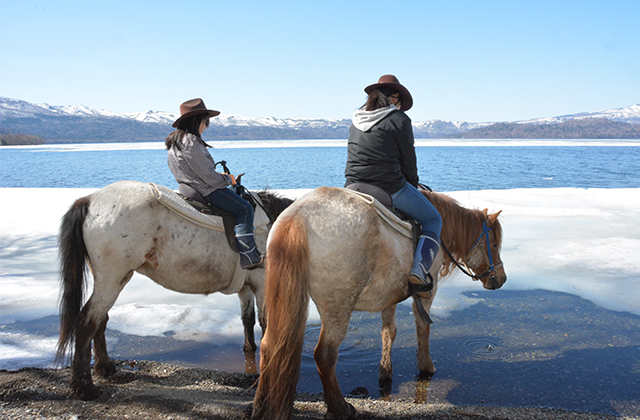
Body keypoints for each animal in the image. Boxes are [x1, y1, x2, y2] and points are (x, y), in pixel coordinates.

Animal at [57, 180, 292, 400]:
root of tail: (89, 200)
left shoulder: (246, 287)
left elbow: (247, 320)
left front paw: (250, 352)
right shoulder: (262, 284)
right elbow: (266, 324)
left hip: (109, 280)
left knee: (100, 320)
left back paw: (104, 367)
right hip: (112, 278)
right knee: (86, 322)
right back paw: (84, 387)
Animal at [250, 187, 504, 420]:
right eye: (493, 243)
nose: (500, 279)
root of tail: (299, 217)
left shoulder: (388, 296)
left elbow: (388, 332)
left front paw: (385, 371)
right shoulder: (427, 293)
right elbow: (423, 329)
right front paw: (426, 367)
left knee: (268, 346)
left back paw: (261, 406)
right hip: (337, 307)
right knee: (324, 355)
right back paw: (340, 408)